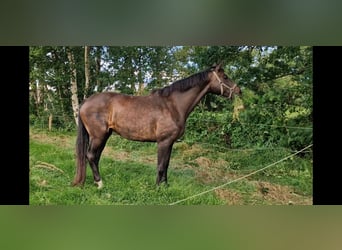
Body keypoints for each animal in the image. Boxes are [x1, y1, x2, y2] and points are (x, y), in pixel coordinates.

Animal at [73, 63, 242, 188]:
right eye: (225, 77)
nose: (239, 91)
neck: (173, 105)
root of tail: (86, 101)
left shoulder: (170, 143)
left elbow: (166, 164)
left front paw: (165, 185)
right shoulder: (163, 142)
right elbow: (161, 165)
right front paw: (158, 187)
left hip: (104, 135)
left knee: (95, 157)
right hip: (98, 136)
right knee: (91, 156)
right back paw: (100, 184)